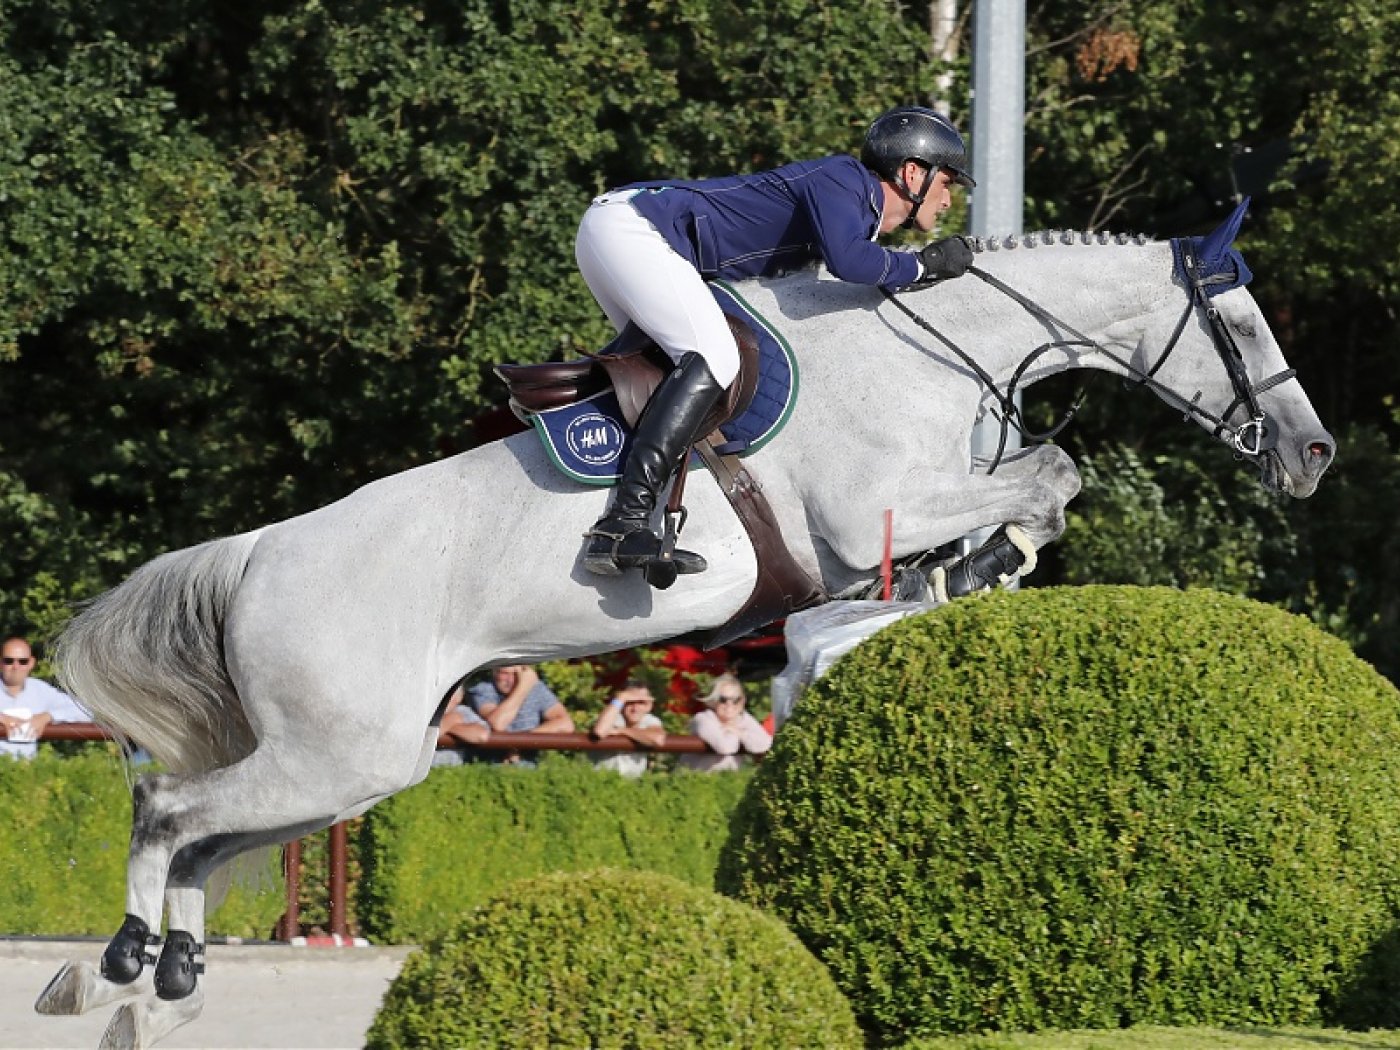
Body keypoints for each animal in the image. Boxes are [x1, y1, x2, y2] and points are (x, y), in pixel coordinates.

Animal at [32, 201, 1332, 1047]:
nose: (1312, 454)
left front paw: (971, 574)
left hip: (360, 764)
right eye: (1243, 329)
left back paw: (170, 979)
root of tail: (259, 552)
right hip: (335, 752)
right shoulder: (868, 507)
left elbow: (1035, 491)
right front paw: (975, 564)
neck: (928, 346)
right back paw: (109, 971)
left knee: (204, 841)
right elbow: (1050, 476)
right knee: (166, 808)